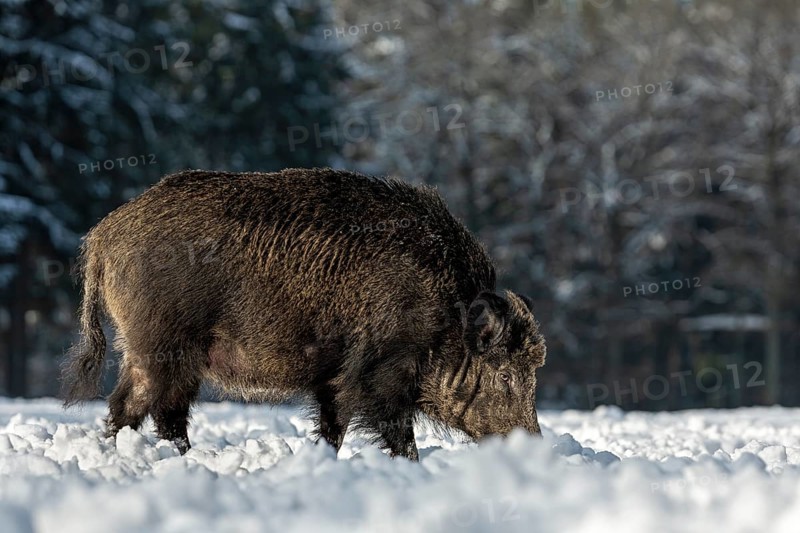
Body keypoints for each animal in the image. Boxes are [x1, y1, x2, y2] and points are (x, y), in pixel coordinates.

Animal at [61, 168, 546, 459]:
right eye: (506, 375)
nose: (536, 445)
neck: (445, 318)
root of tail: (103, 234)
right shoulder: (381, 369)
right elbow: (394, 429)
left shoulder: (333, 378)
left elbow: (334, 425)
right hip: (160, 343)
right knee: (139, 406)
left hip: (166, 354)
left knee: (155, 409)